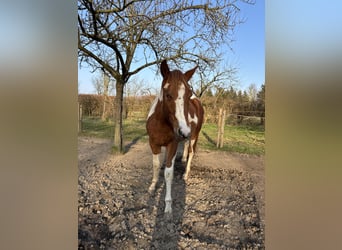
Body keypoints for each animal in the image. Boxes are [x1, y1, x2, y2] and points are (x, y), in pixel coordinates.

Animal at [146, 60, 203, 213]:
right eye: (167, 94)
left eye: (188, 94)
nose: (183, 131)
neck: (161, 122)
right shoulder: (153, 144)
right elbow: (155, 165)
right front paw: (152, 187)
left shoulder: (172, 144)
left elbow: (168, 173)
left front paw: (168, 205)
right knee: (186, 147)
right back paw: (182, 158)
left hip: (194, 135)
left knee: (191, 152)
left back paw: (186, 174)